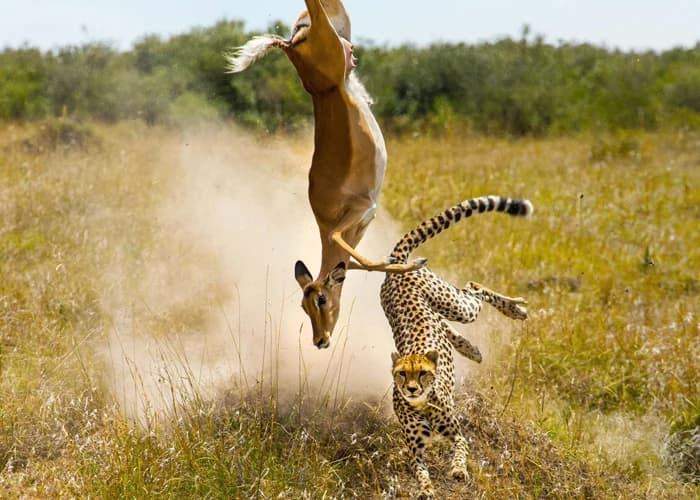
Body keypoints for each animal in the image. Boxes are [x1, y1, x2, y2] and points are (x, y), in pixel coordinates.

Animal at [228, 0, 426, 349]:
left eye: (320, 299)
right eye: (302, 305)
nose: (320, 340)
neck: (328, 215)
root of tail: (291, 45)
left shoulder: (361, 211)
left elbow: (345, 248)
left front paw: (414, 262)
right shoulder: (360, 223)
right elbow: (358, 263)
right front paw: (403, 262)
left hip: (329, 29)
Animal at [381, 195, 533, 498]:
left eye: (423, 373)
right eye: (402, 374)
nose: (411, 389)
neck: (421, 403)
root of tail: (398, 264)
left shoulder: (457, 433)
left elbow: (461, 450)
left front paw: (459, 470)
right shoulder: (415, 451)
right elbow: (421, 472)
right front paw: (427, 489)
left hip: (456, 305)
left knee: (473, 287)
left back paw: (515, 309)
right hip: (434, 309)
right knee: (446, 322)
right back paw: (471, 348)